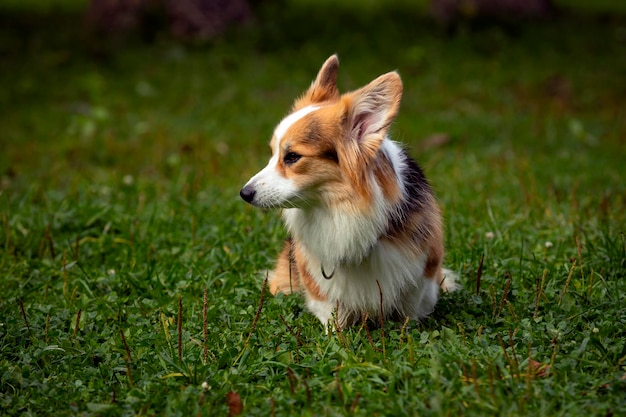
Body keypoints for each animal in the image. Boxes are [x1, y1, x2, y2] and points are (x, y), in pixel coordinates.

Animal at [239, 54, 454, 328]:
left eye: (293, 157)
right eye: (273, 153)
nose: (244, 193)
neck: (343, 209)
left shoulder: (422, 273)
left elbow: (410, 313)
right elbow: (332, 315)